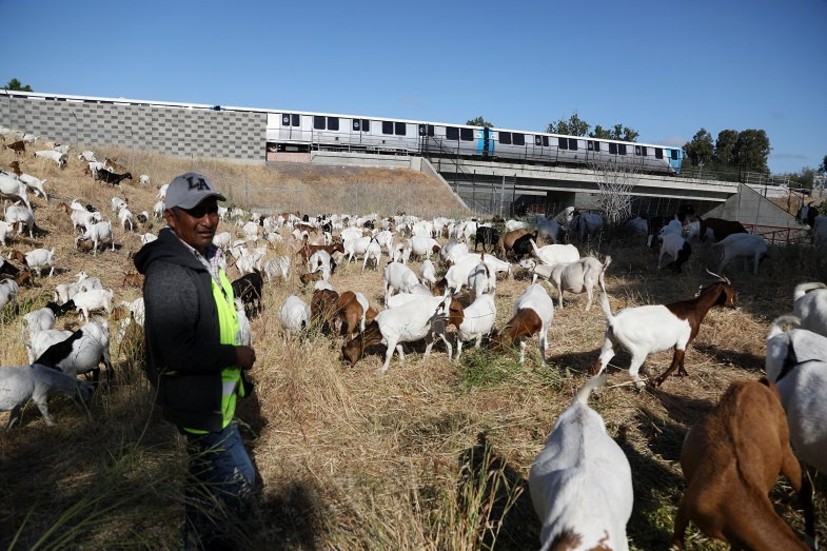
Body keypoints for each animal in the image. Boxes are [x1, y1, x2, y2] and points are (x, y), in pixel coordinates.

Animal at [592, 276, 740, 388]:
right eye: (733, 292)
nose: (735, 306)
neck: (694, 308)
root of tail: (614, 320)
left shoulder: (685, 342)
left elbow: (681, 359)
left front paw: (683, 373)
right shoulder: (681, 341)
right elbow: (674, 363)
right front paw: (658, 381)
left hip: (611, 343)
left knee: (598, 365)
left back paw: (595, 391)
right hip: (640, 349)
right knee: (632, 370)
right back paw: (641, 386)